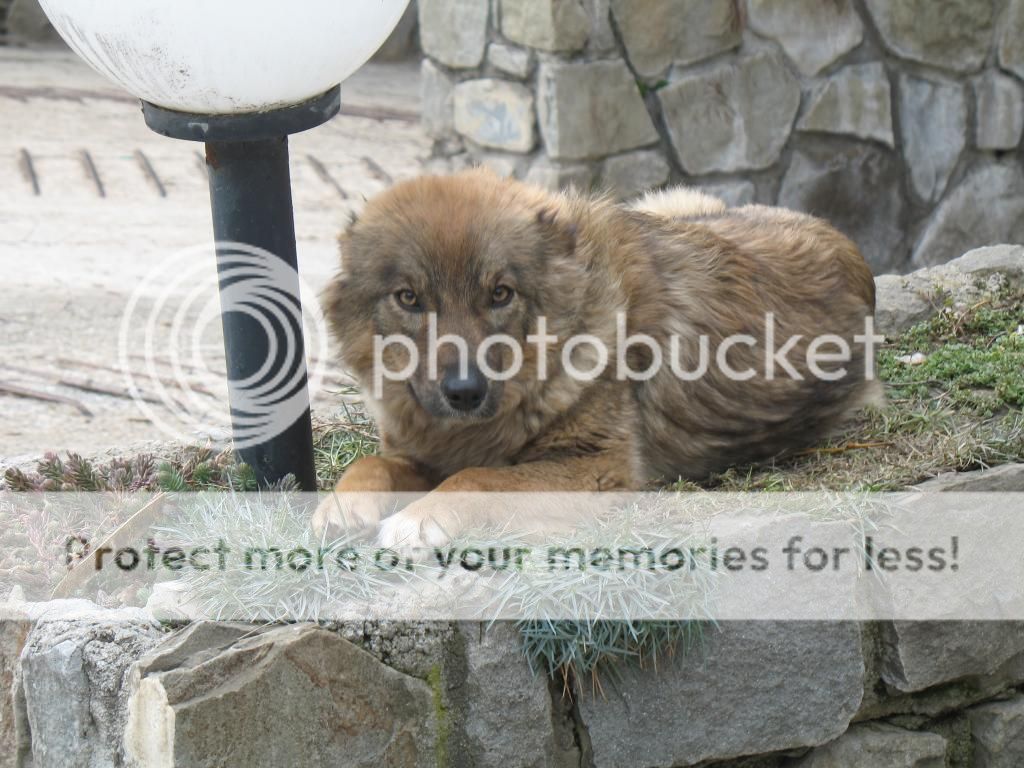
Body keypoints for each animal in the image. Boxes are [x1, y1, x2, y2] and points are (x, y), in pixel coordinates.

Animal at [311, 167, 880, 552]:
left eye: (500, 294)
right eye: (409, 298)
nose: (465, 393)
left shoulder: (597, 467)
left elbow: (477, 477)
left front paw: (417, 519)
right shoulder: (417, 451)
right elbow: (370, 463)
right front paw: (340, 504)